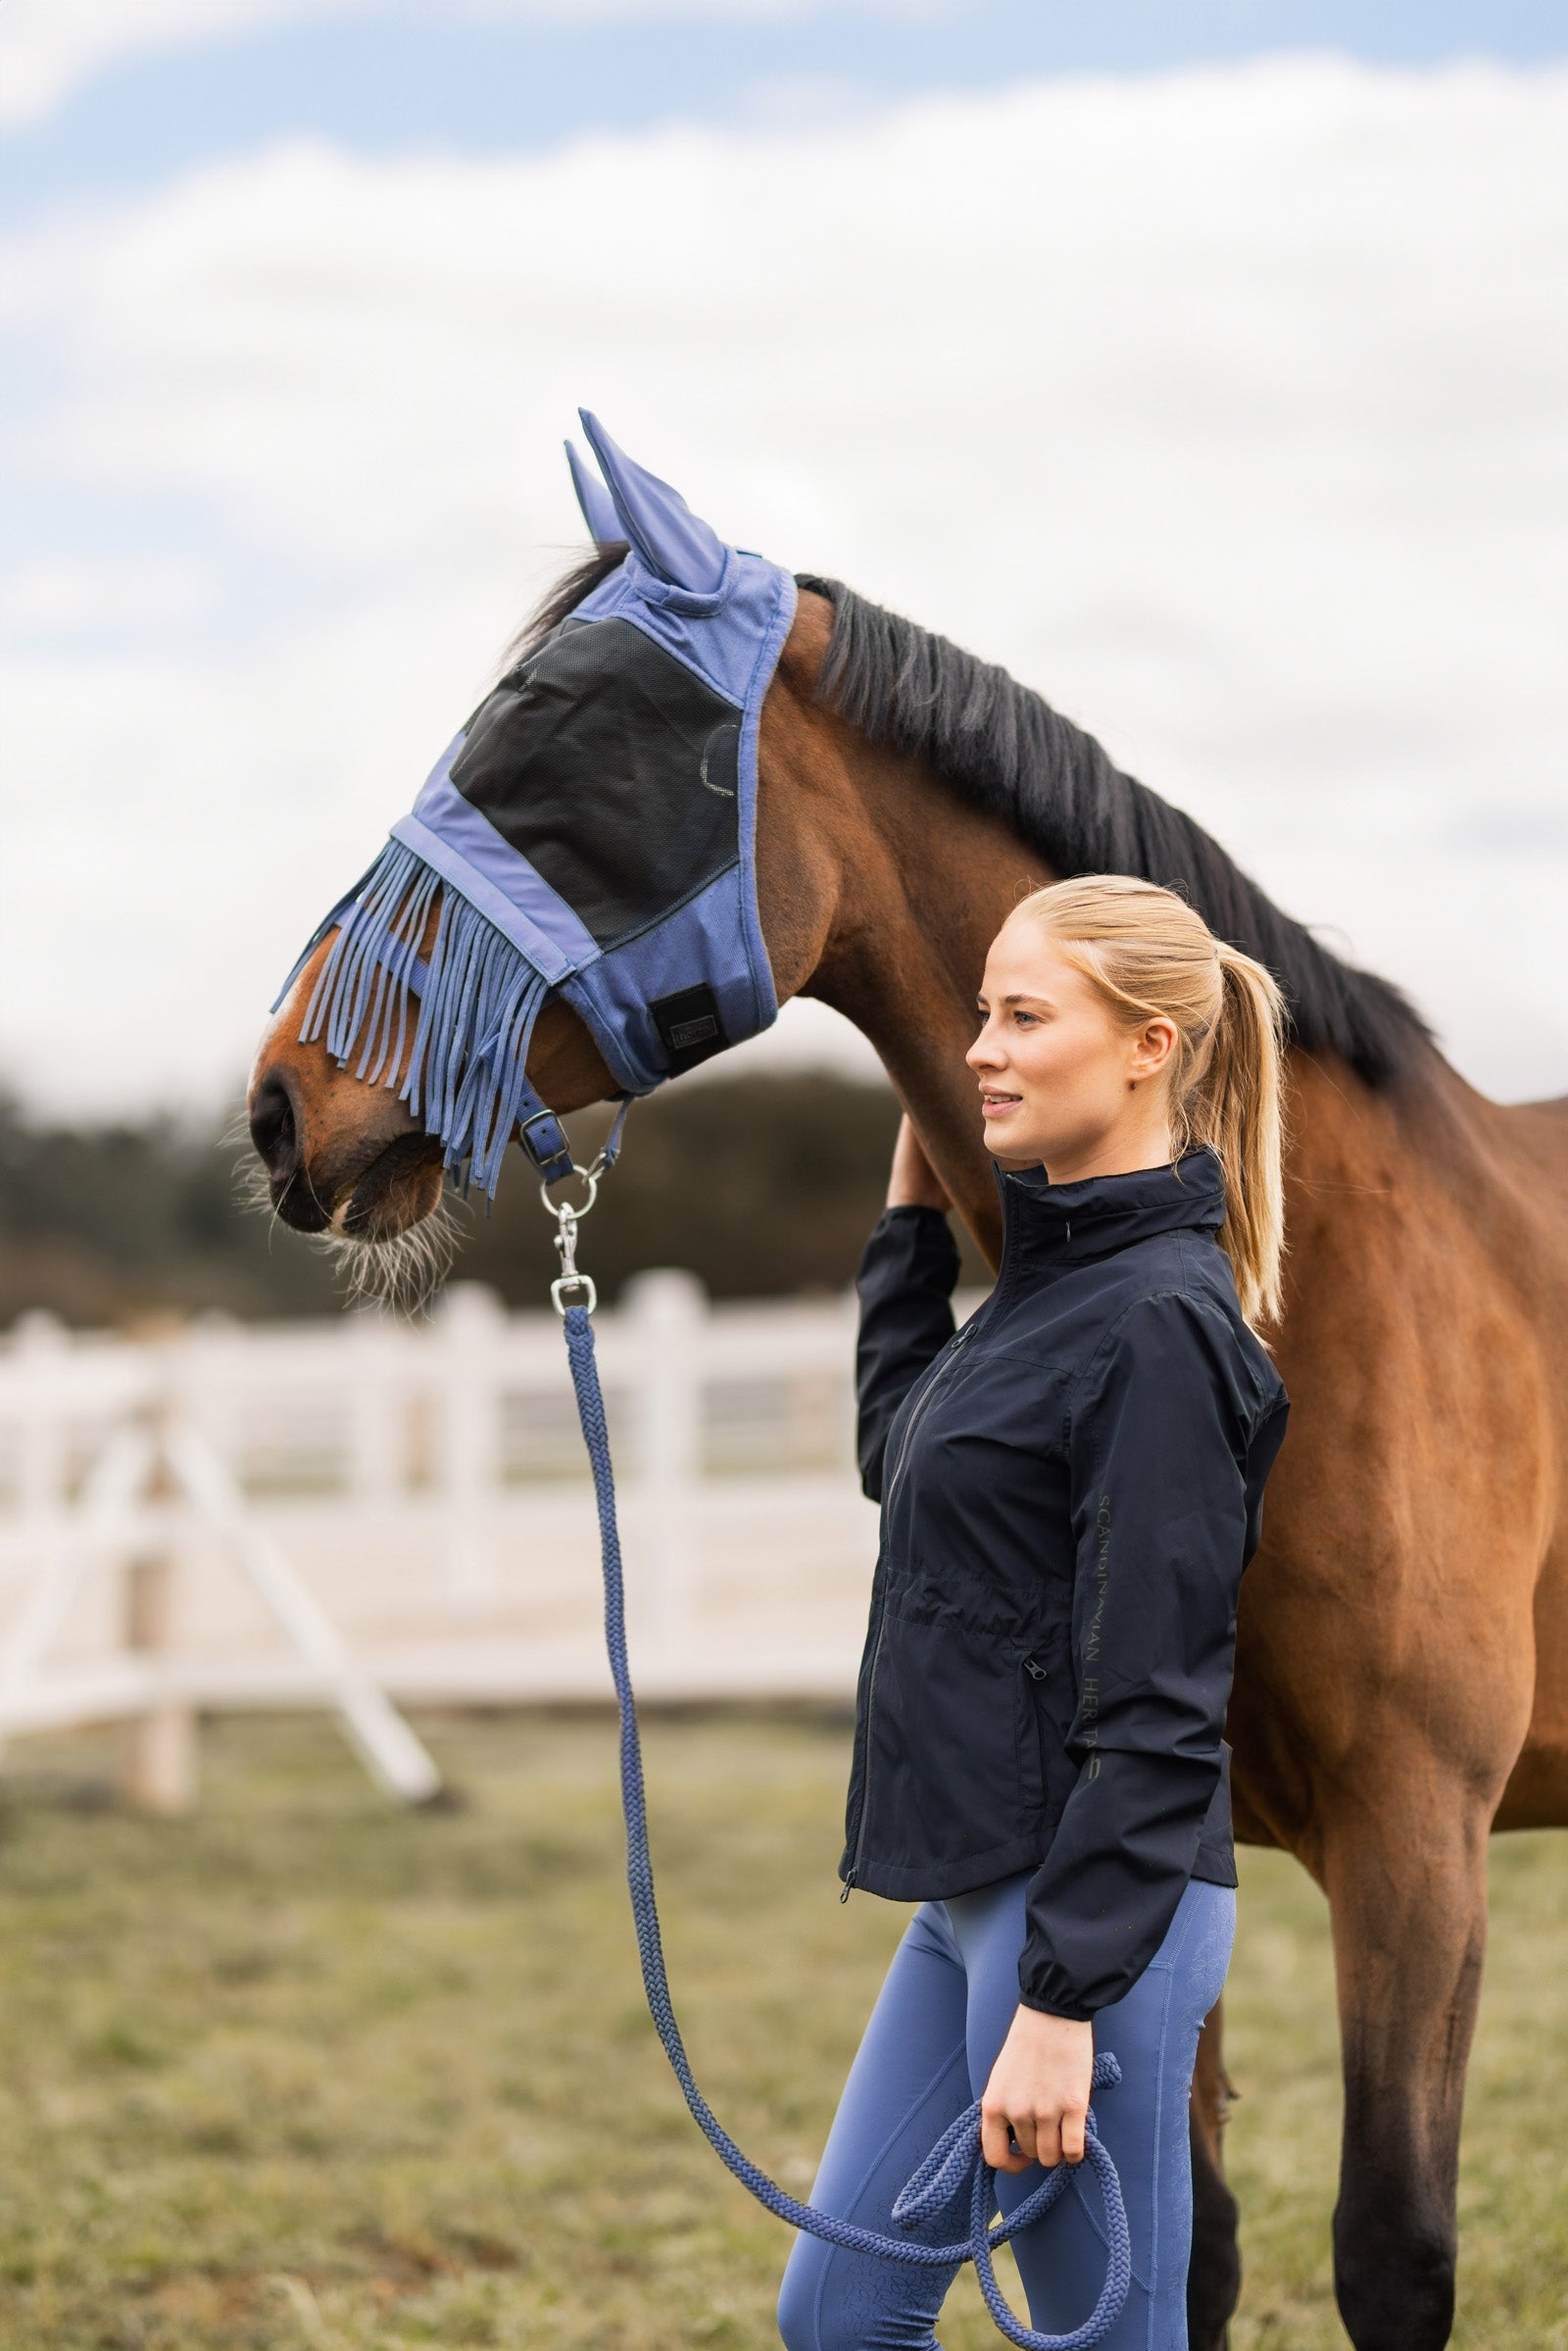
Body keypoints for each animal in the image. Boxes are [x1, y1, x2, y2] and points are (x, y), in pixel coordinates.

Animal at [247, 492, 1568, 2351]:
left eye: (554, 742)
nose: (284, 1103)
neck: (1307, 1284)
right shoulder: (1186, 1861)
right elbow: (1187, 2254)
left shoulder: (1415, 1846)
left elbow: (1391, 2251)